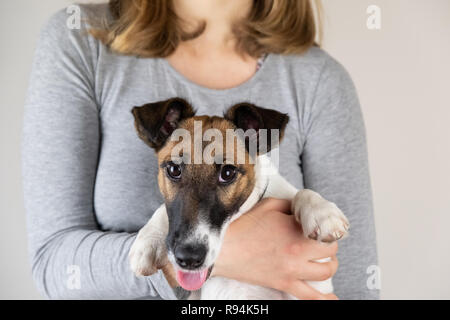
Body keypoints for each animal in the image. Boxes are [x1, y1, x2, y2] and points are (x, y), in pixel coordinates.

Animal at [128, 97, 350, 300]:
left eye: (227, 173)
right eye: (174, 169)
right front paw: (148, 239)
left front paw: (322, 213)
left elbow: (302, 192)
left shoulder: (313, 287)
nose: (188, 259)